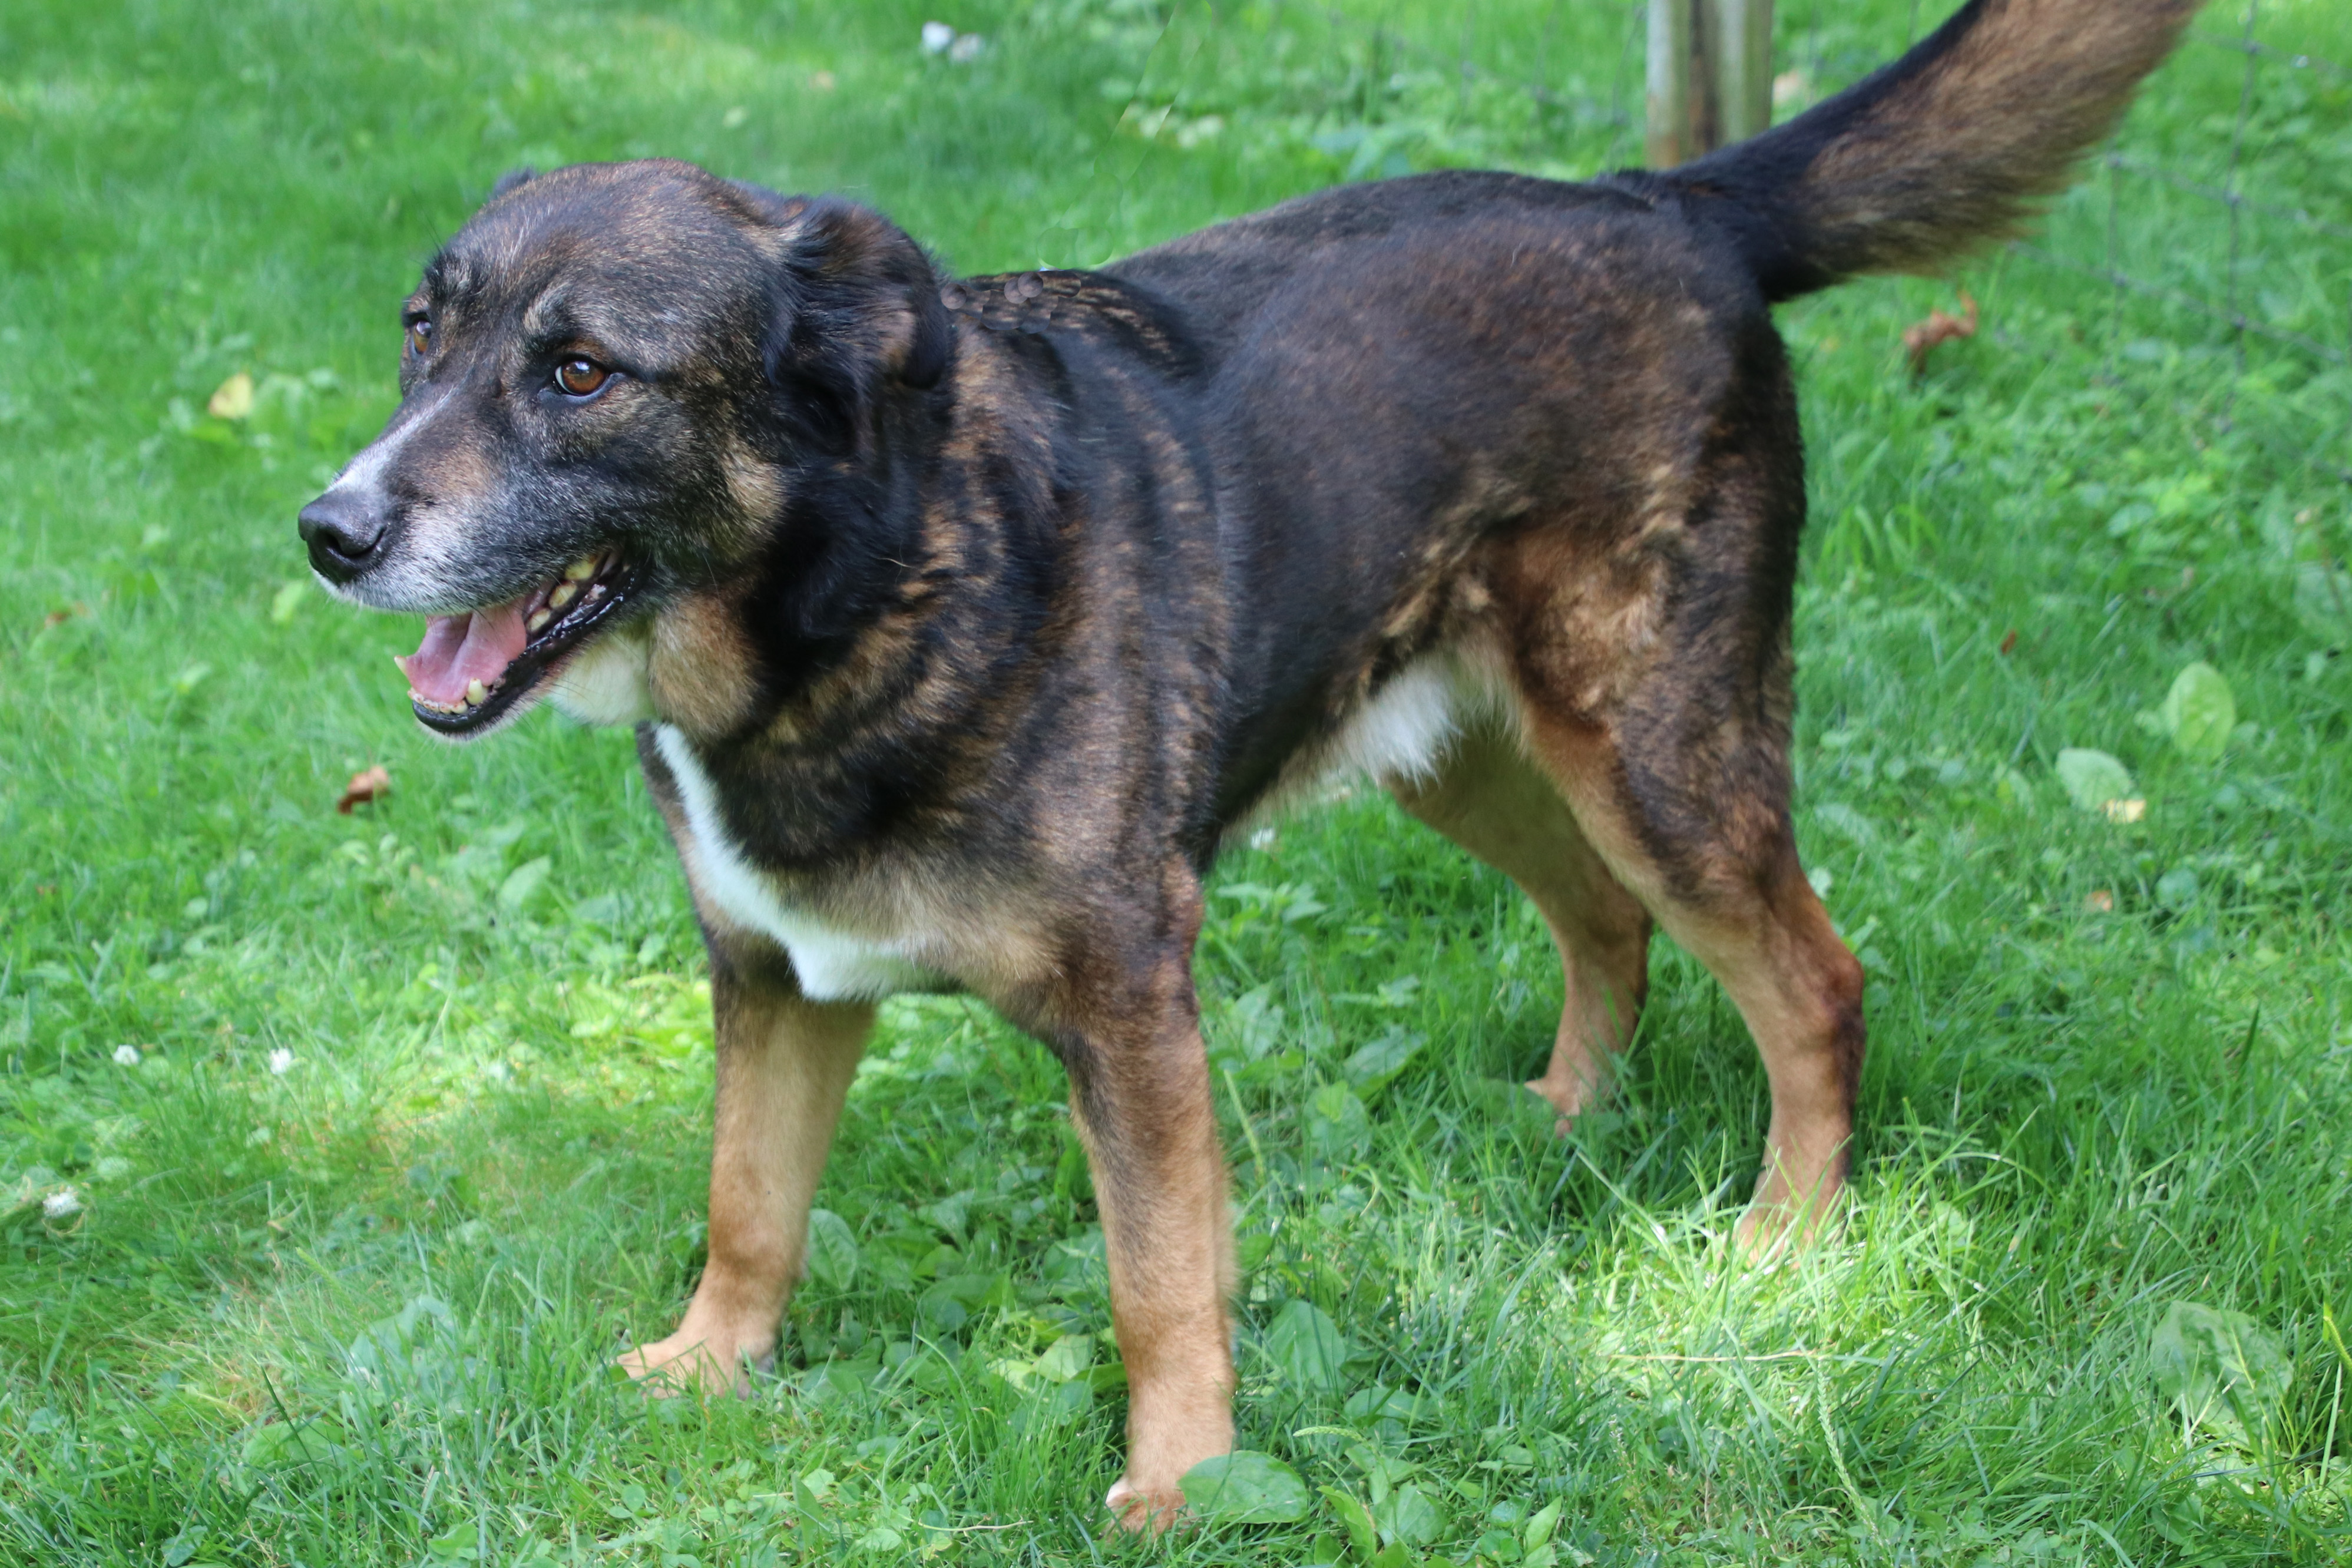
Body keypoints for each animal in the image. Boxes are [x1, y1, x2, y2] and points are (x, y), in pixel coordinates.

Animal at [303, 0, 2192, 1523]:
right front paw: (710, 1368)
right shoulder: (774, 976)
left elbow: (1157, 1281)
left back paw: (1787, 1230)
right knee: (1603, 921)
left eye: (579, 371)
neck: (859, 598)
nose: (328, 531)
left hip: (1658, 756)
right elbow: (748, 1204)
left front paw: (1183, 1477)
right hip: (1463, 751)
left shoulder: (1131, 1009)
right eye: (418, 332)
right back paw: (1564, 1114)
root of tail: (1665, 204)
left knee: (1813, 981)